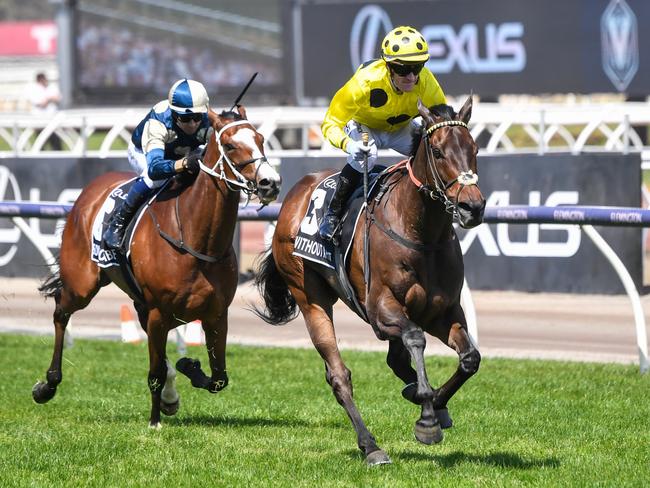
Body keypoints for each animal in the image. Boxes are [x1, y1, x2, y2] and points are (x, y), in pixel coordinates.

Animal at [33, 106, 280, 428]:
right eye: (229, 145)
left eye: (260, 139)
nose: (270, 182)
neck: (198, 240)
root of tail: (89, 192)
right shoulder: (159, 311)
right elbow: (155, 373)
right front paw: (154, 420)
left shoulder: (215, 315)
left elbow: (218, 378)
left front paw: (187, 368)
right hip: (82, 285)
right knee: (61, 311)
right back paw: (48, 384)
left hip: (140, 304)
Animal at [256, 96, 484, 466]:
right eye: (438, 152)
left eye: (474, 148)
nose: (472, 207)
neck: (420, 232)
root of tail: (295, 194)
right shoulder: (381, 309)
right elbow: (415, 338)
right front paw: (427, 419)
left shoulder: (442, 310)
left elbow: (469, 359)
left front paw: (435, 402)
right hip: (309, 296)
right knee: (339, 375)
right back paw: (371, 445)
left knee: (396, 360)